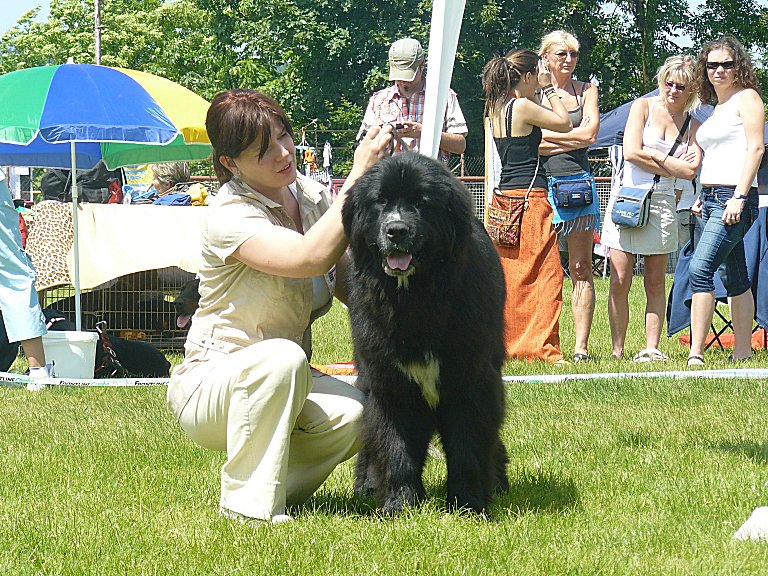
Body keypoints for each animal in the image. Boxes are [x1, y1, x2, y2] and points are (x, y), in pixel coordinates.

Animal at [342, 151, 510, 516]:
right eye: (380, 201)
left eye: (422, 202)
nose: (396, 230)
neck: (415, 298)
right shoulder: (389, 384)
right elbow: (395, 447)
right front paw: (398, 505)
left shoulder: (470, 381)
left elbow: (468, 447)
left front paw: (469, 504)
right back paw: (367, 484)